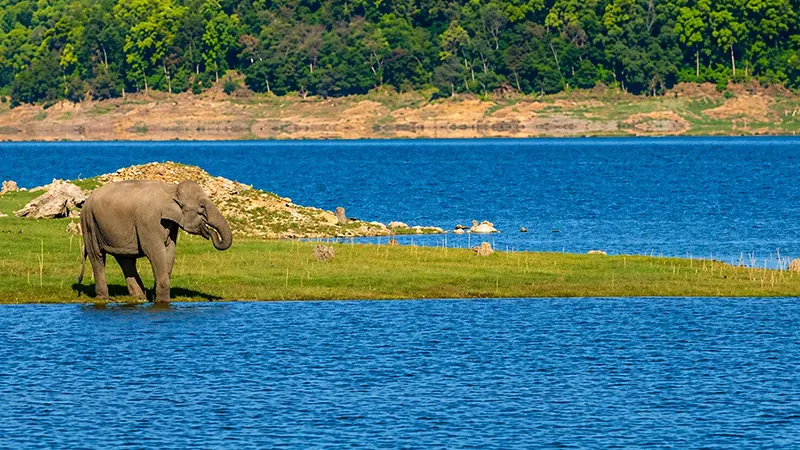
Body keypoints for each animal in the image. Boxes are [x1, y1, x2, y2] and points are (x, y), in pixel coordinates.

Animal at [77, 180, 232, 302]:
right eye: (202, 207)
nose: (210, 232)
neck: (171, 189)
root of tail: (87, 200)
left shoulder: (171, 223)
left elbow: (170, 250)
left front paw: (156, 294)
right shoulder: (148, 220)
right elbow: (154, 251)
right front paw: (162, 301)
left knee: (125, 259)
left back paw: (139, 297)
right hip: (88, 222)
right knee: (97, 256)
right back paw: (103, 298)